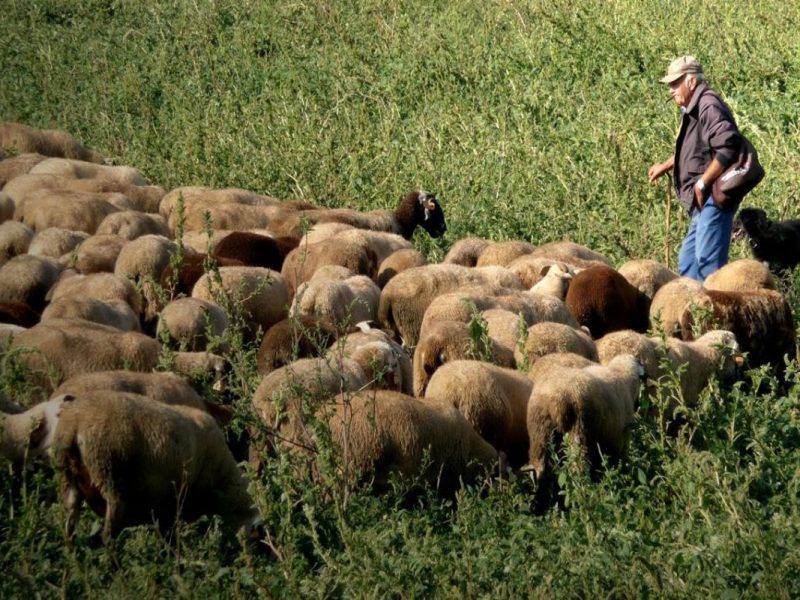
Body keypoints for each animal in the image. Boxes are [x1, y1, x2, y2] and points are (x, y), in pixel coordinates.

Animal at [53, 391, 258, 541]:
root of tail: (75, 423)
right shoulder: (175, 504)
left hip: (69, 480)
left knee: (69, 530)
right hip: (109, 474)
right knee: (107, 535)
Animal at [524, 354, 644, 482]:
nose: (638, 405)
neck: (621, 373)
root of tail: (556, 399)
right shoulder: (620, 438)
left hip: (539, 431)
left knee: (538, 466)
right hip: (579, 431)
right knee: (578, 467)